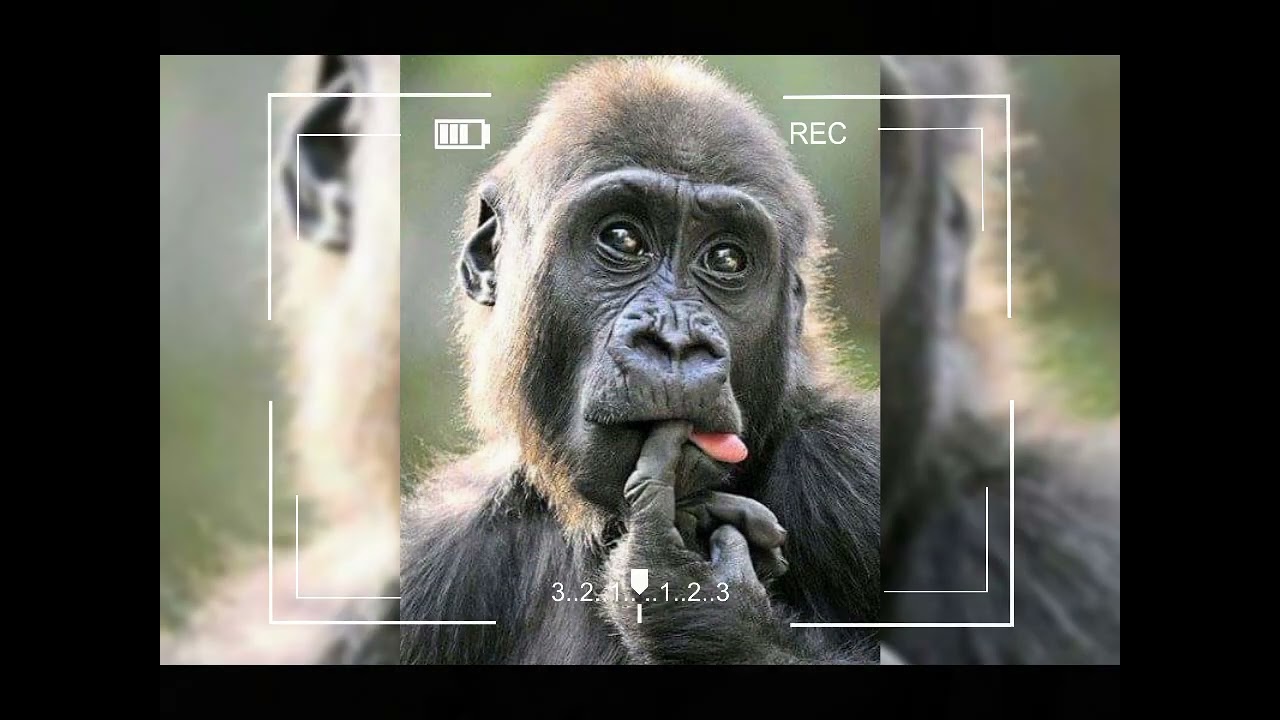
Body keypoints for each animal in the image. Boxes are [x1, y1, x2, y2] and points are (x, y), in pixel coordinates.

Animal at [400, 56, 881, 664]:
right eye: (623, 239)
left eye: (727, 258)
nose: (674, 342)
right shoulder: (427, 558)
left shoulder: (857, 464)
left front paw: (695, 603)